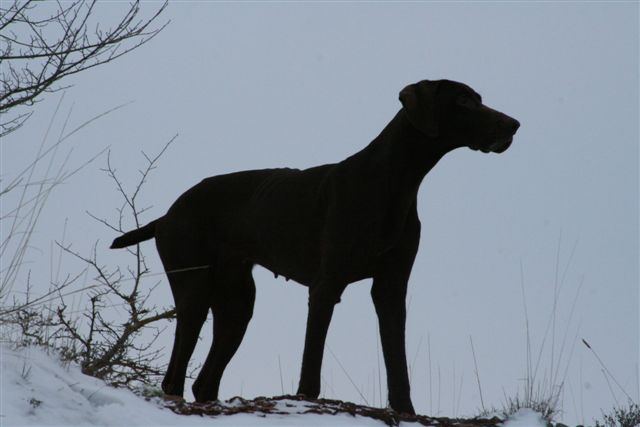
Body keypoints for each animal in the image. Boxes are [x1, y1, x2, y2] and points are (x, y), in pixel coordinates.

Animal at [111, 80, 520, 414]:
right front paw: (305, 401)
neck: (394, 182)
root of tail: (167, 214)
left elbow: (397, 361)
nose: (514, 124)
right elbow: (312, 361)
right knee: (175, 373)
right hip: (194, 289)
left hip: (238, 304)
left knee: (205, 380)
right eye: (463, 100)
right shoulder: (326, 286)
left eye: (478, 98)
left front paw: (406, 411)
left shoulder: (391, 287)